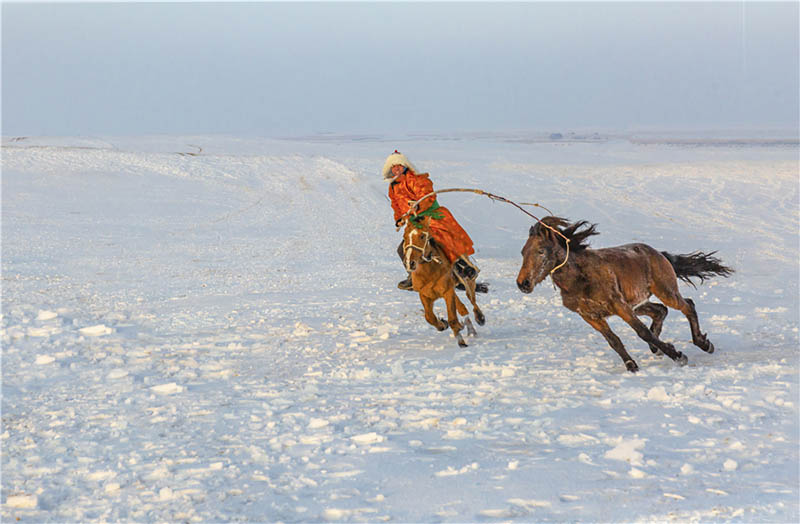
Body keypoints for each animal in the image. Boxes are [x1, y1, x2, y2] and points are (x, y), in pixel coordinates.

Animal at [402, 216, 485, 347]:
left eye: (422, 236)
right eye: (404, 237)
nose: (410, 263)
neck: (429, 272)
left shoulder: (448, 292)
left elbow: (452, 318)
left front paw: (461, 341)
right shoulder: (424, 294)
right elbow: (429, 317)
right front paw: (442, 324)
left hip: (468, 282)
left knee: (472, 301)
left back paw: (480, 319)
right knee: (462, 308)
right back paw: (470, 330)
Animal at [516, 216, 733, 372]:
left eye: (541, 251)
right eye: (523, 252)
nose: (522, 283)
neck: (580, 278)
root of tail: (659, 254)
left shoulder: (619, 306)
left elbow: (642, 332)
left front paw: (678, 356)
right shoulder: (591, 316)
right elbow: (614, 340)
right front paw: (631, 365)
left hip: (664, 291)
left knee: (687, 305)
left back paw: (703, 344)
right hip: (639, 302)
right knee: (661, 310)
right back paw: (660, 348)